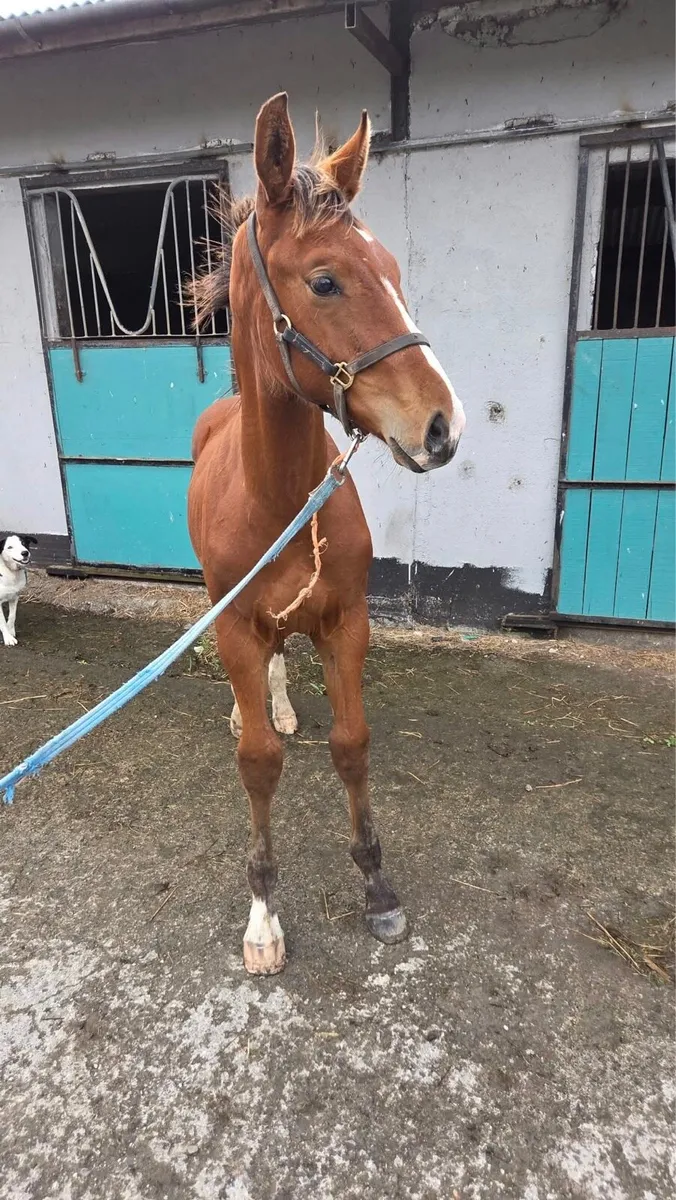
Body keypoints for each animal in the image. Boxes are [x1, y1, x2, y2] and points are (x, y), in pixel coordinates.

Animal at [188, 93, 465, 975]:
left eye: (397, 275)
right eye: (324, 281)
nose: (443, 427)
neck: (279, 501)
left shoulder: (346, 622)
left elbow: (352, 743)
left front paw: (377, 888)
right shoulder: (237, 625)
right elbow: (257, 764)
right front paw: (263, 917)